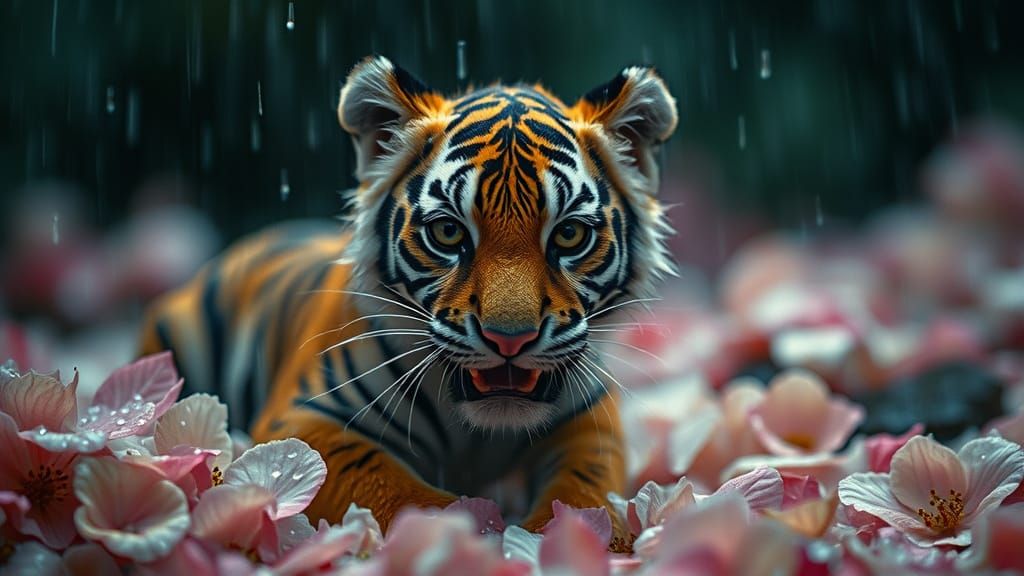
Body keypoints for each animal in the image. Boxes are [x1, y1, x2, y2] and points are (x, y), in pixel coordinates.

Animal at [139, 55, 678, 551]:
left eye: (568, 235)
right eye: (448, 232)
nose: (510, 339)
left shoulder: (591, 425)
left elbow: (588, 495)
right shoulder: (305, 418)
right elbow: (400, 493)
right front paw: (477, 534)